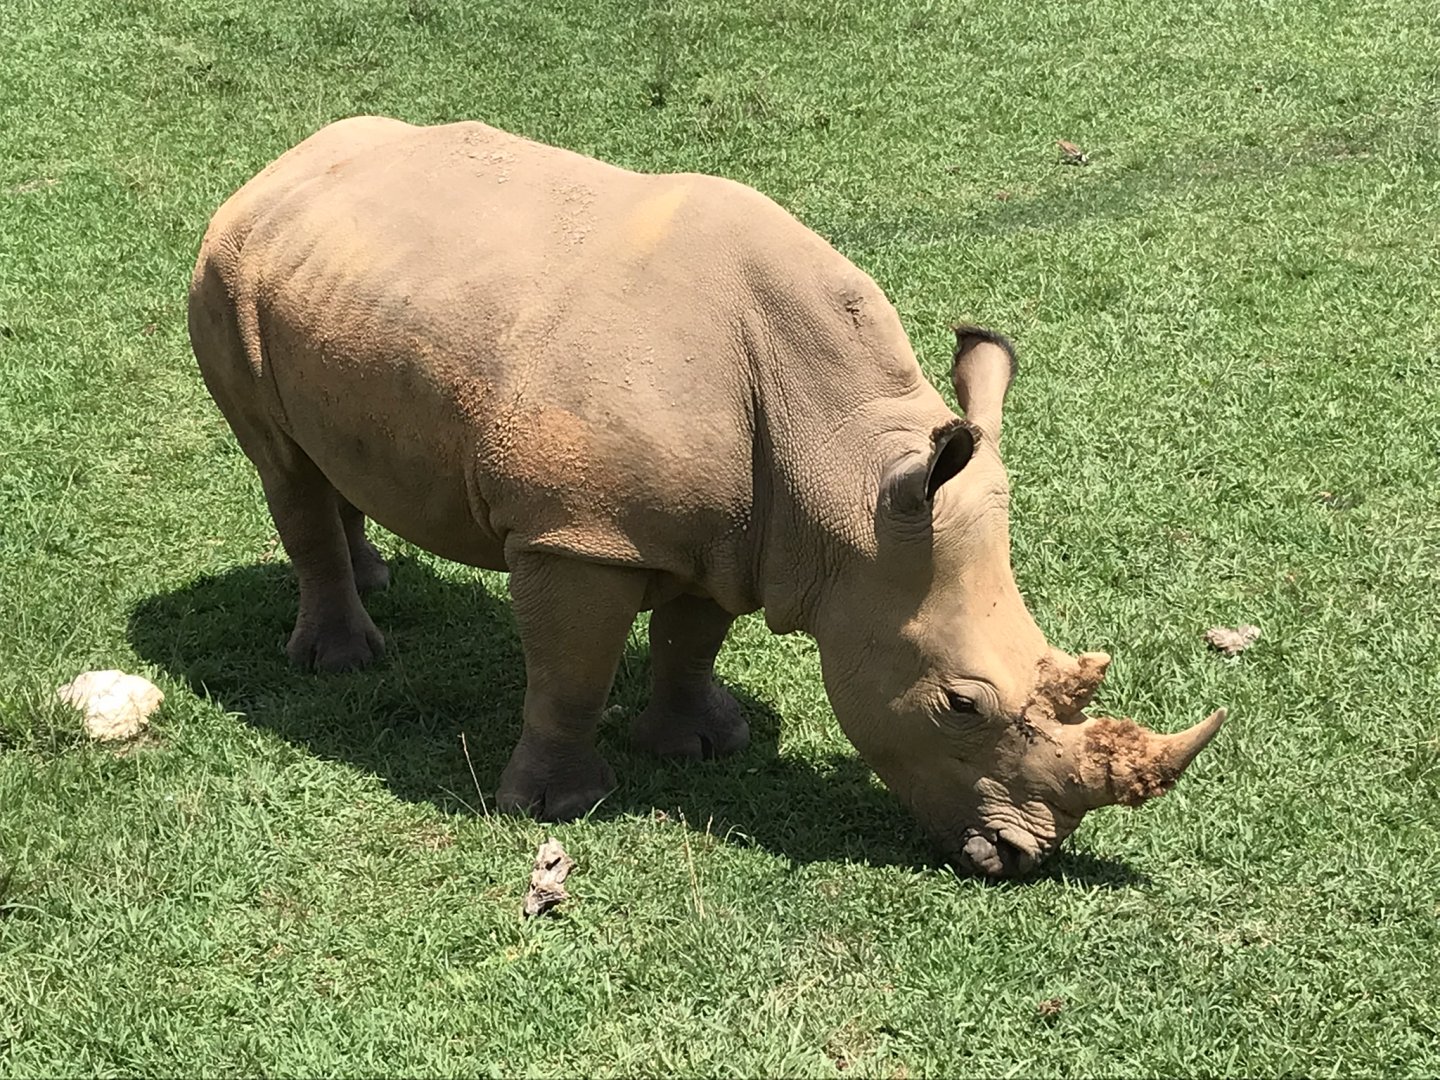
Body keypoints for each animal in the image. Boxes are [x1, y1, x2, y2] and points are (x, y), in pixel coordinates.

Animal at [188, 116, 1225, 878]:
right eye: (961, 706)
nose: (1021, 857)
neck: (843, 470)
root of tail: (279, 167)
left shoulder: (739, 533)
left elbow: (692, 638)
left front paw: (698, 747)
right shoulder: (579, 533)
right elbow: (571, 672)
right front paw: (560, 806)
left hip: (339, 282)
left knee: (327, 455)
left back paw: (377, 582)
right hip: (225, 273)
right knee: (281, 465)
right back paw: (342, 661)